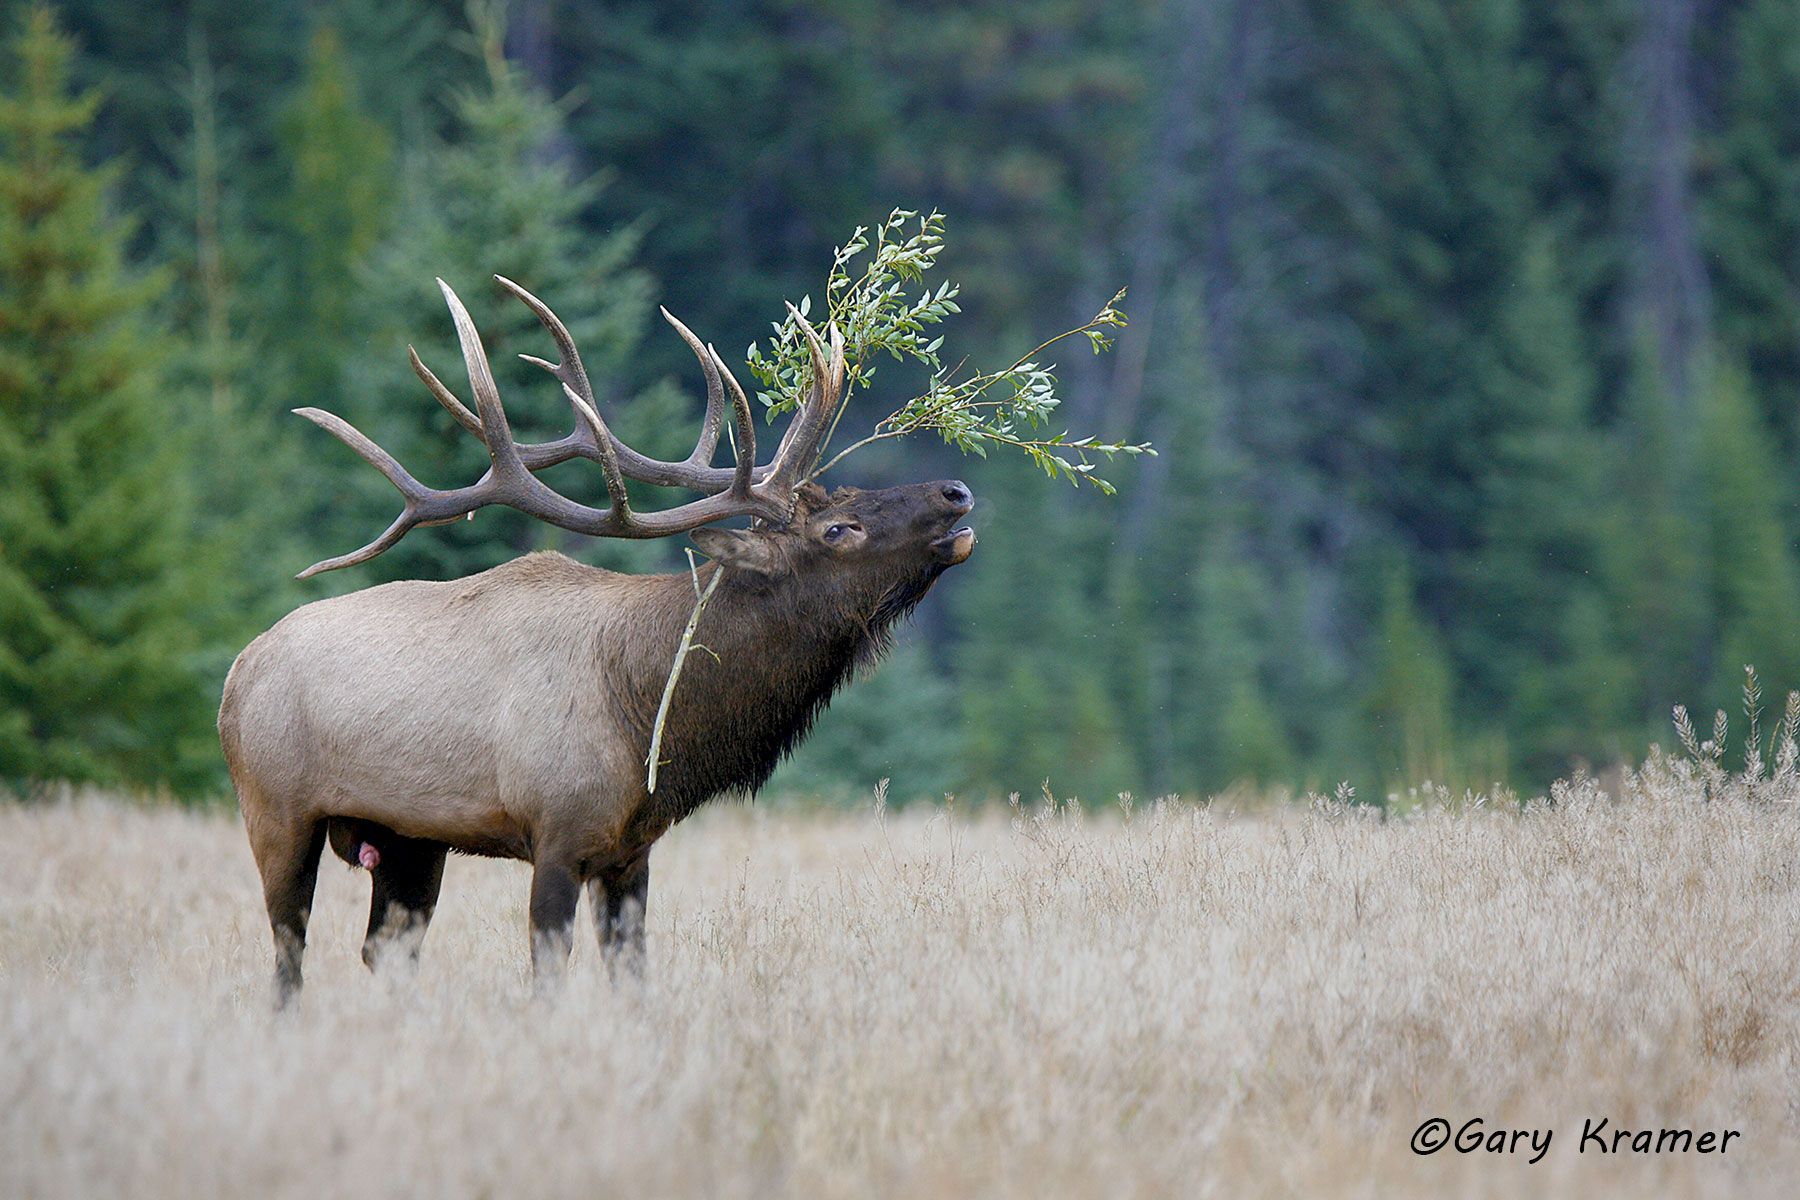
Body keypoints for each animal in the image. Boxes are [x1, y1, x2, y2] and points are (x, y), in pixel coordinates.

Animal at [218, 276, 976, 1005]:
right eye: (839, 529)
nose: (956, 491)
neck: (650, 725)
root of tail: (238, 669)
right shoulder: (555, 830)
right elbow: (549, 973)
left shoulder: (630, 852)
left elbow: (633, 975)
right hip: (275, 808)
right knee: (289, 951)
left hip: (410, 840)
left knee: (384, 949)